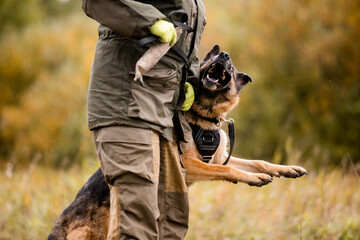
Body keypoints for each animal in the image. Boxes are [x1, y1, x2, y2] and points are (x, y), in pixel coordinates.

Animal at [47, 45, 306, 238]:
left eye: (231, 68)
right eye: (211, 58)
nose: (223, 55)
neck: (204, 118)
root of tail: (58, 227)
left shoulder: (219, 159)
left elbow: (258, 162)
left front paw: (286, 169)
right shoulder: (189, 166)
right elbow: (230, 169)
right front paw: (255, 178)